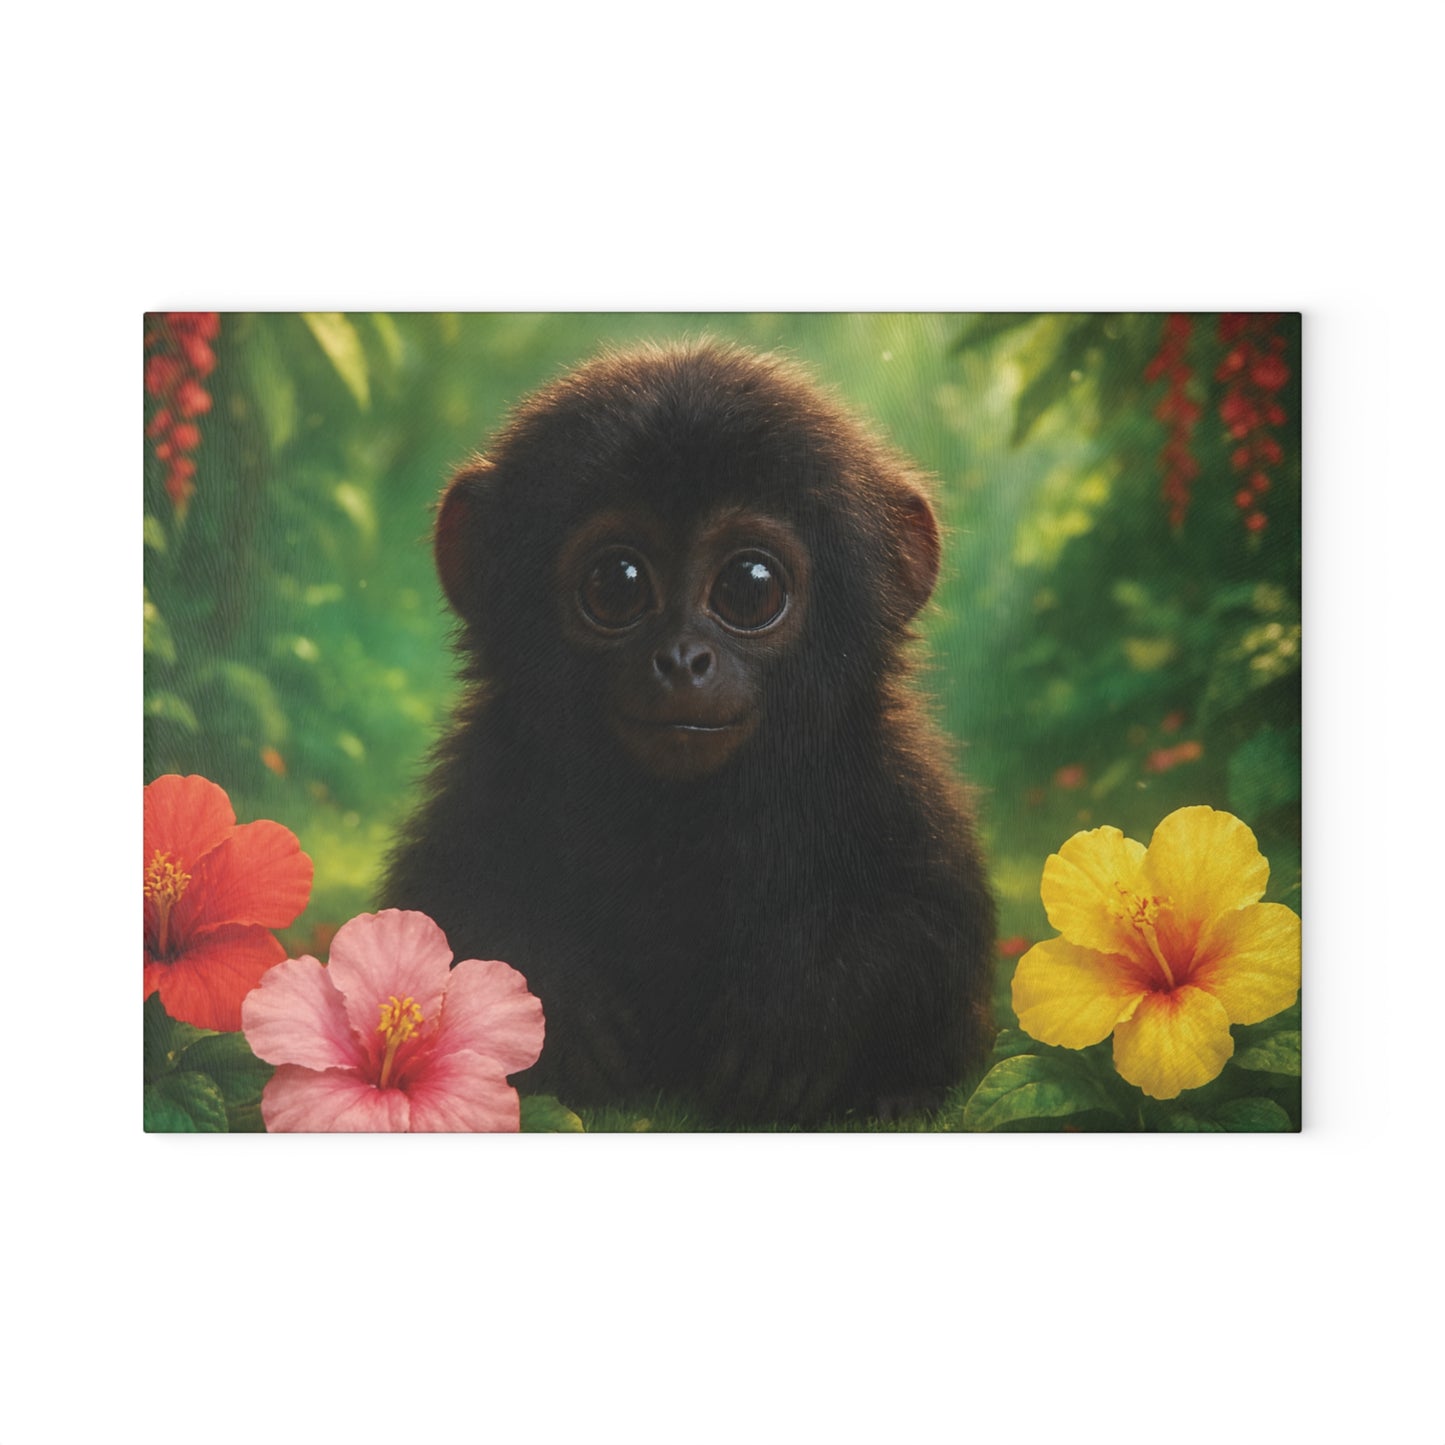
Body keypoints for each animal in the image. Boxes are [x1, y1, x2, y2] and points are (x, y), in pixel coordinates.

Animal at [382, 340, 995, 1125]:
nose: (681, 658)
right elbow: (442, 911)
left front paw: (802, 1011)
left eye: (749, 586)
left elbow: (931, 924)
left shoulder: (890, 776)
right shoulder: (487, 772)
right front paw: (562, 1002)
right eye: (616, 582)